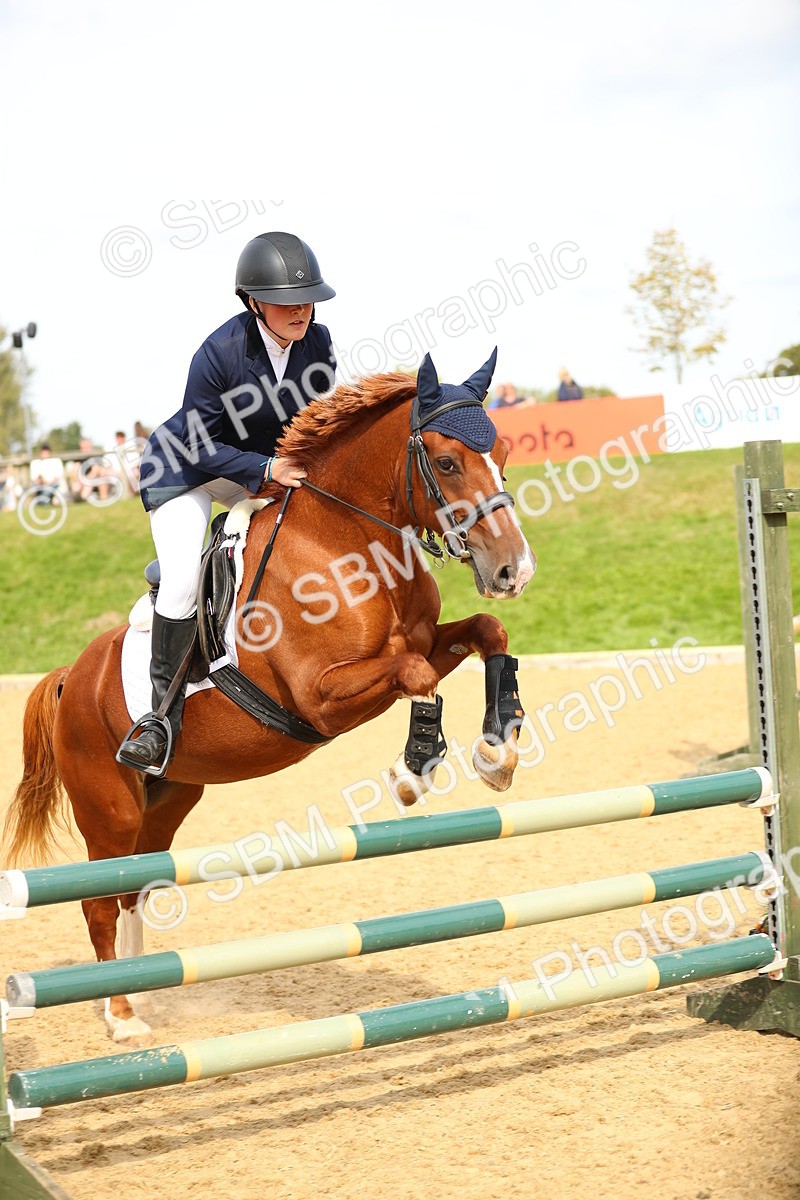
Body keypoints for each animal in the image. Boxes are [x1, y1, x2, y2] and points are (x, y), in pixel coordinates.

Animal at [4, 353, 536, 1045]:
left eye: (501, 453)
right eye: (446, 463)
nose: (513, 570)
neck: (343, 539)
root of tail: (72, 674)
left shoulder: (423, 640)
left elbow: (484, 633)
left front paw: (499, 748)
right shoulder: (321, 696)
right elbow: (417, 674)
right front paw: (412, 770)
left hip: (168, 798)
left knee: (132, 890)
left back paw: (138, 992)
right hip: (108, 807)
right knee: (98, 899)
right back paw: (121, 1018)